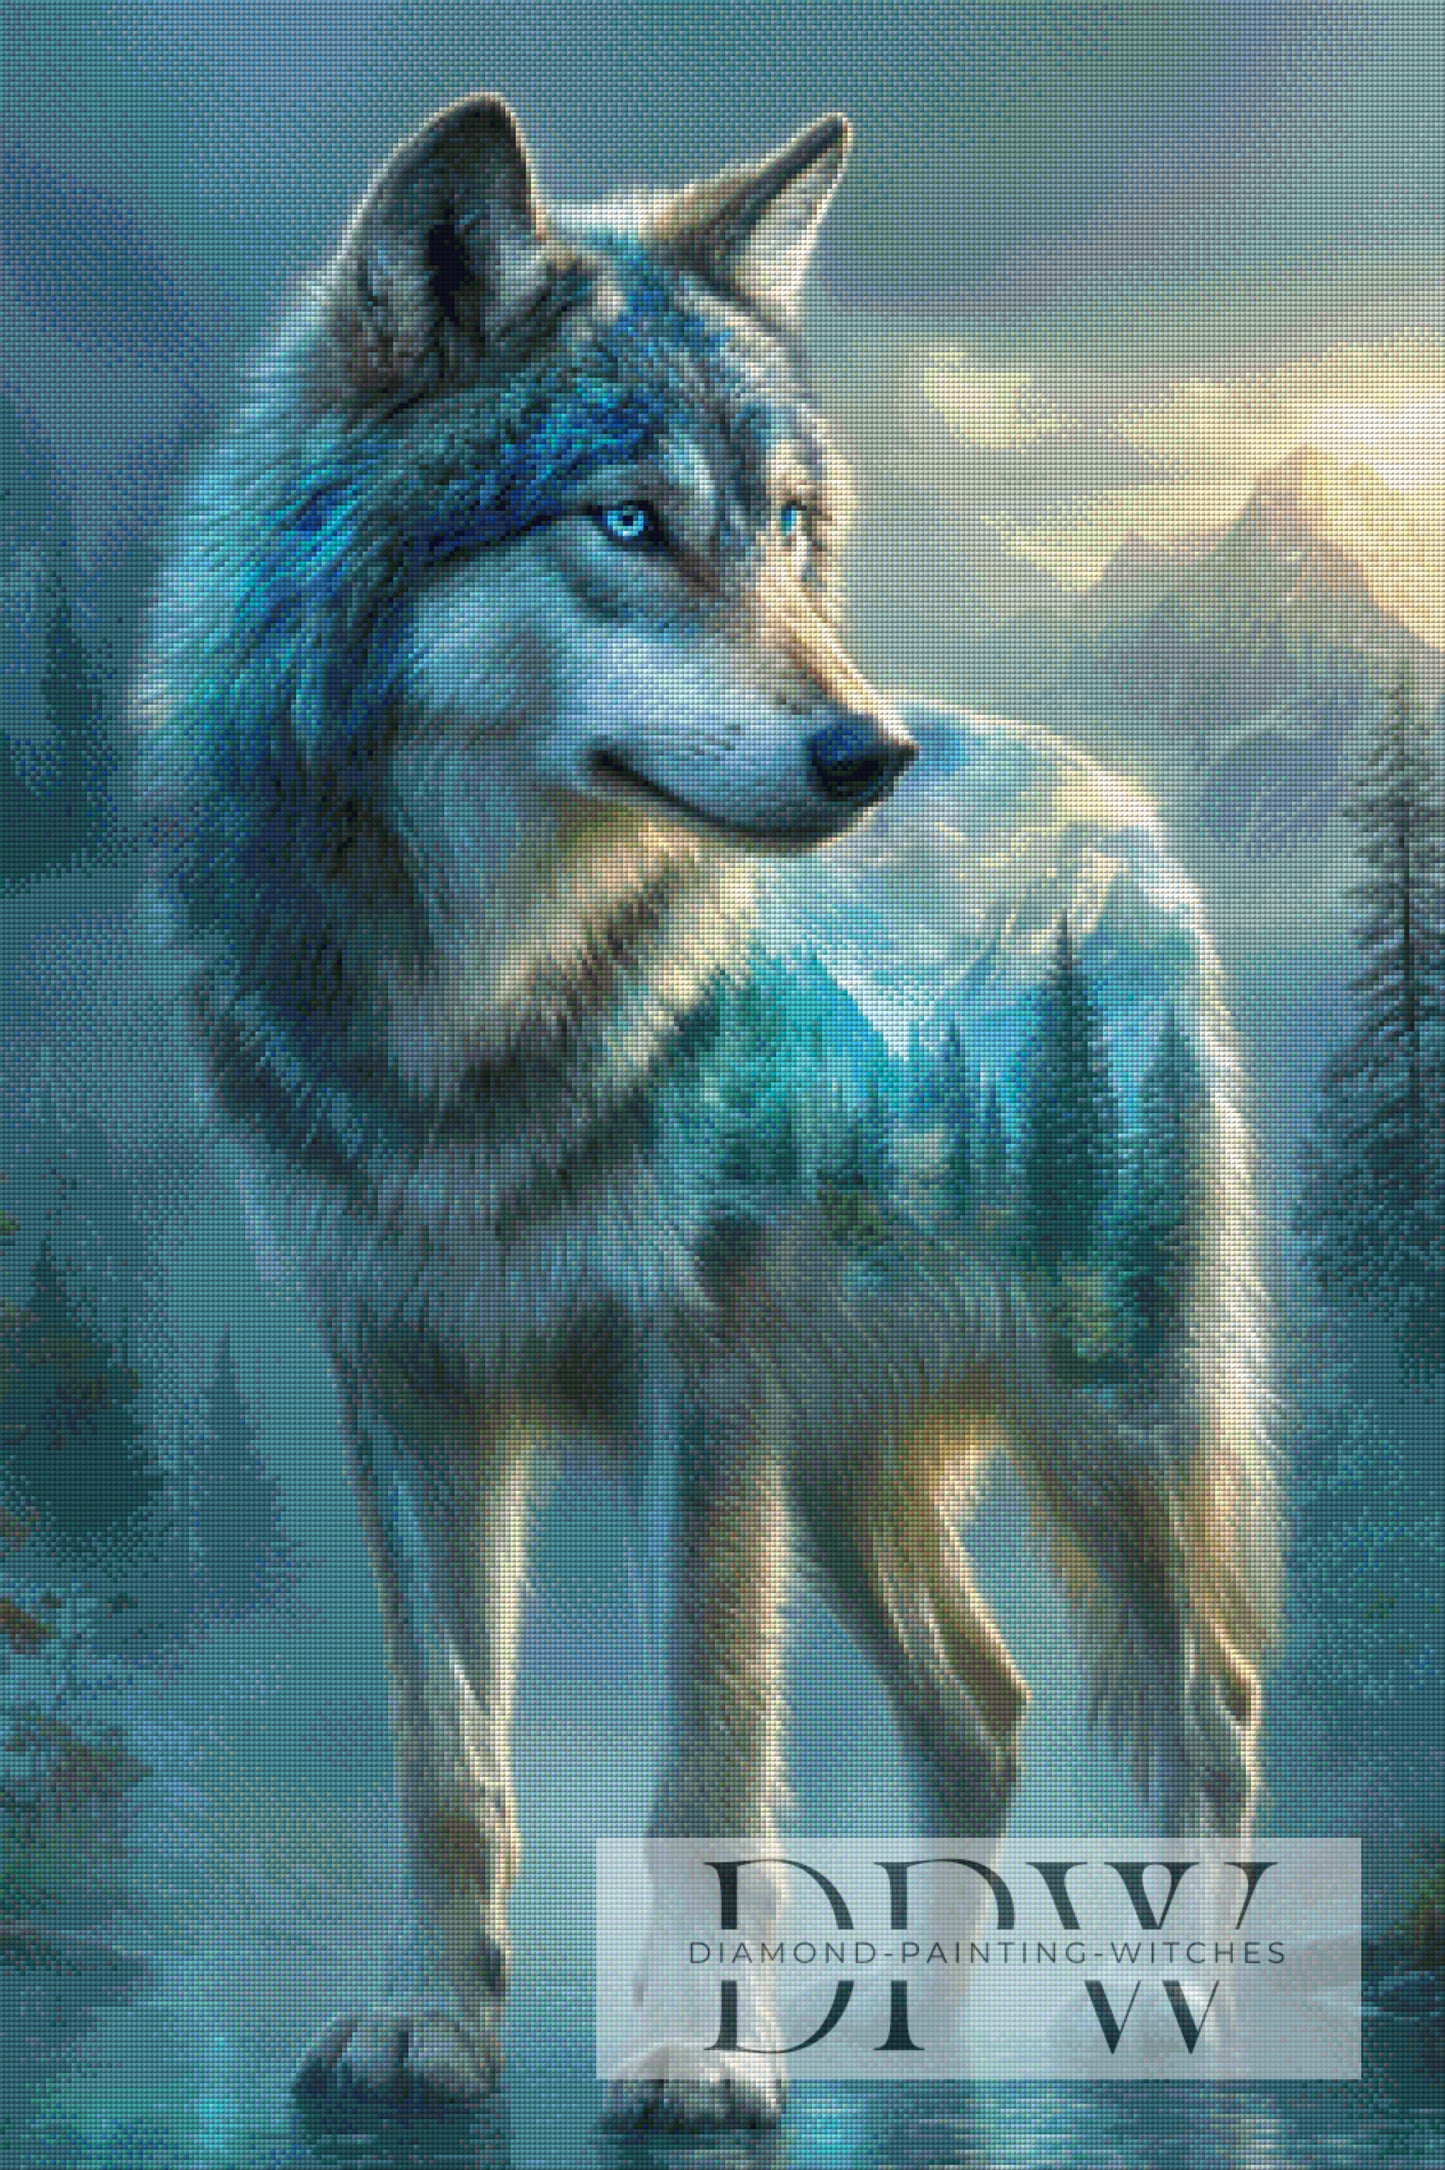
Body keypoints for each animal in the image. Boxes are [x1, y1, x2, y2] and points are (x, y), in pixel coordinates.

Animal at [137, 96, 1280, 2130]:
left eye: (792, 526)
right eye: (629, 522)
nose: (867, 753)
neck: (474, 1017)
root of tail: (1130, 819)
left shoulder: (699, 1391)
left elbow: (706, 1766)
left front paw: (696, 2056)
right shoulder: (405, 1381)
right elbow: (450, 1760)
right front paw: (433, 2029)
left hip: (1097, 1433)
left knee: (1208, 1707)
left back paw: (1188, 2028)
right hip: (839, 1474)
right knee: (981, 1713)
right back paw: (920, 2037)